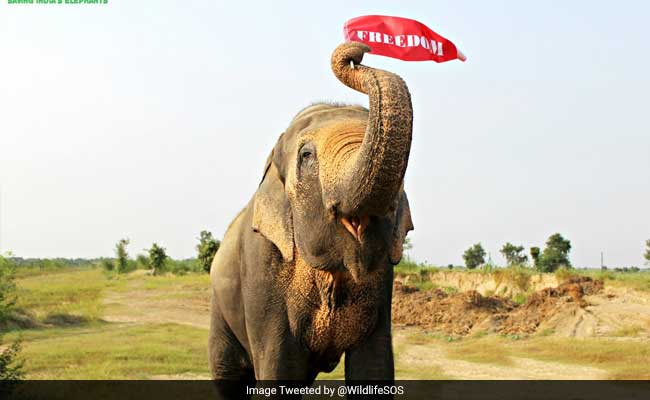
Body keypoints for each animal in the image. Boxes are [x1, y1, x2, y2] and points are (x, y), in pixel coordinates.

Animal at [208, 41, 414, 394]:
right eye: (306, 156)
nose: (360, 51)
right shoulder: (261, 268)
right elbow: (279, 369)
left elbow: (374, 367)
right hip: (219, 307)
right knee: (227, 374)